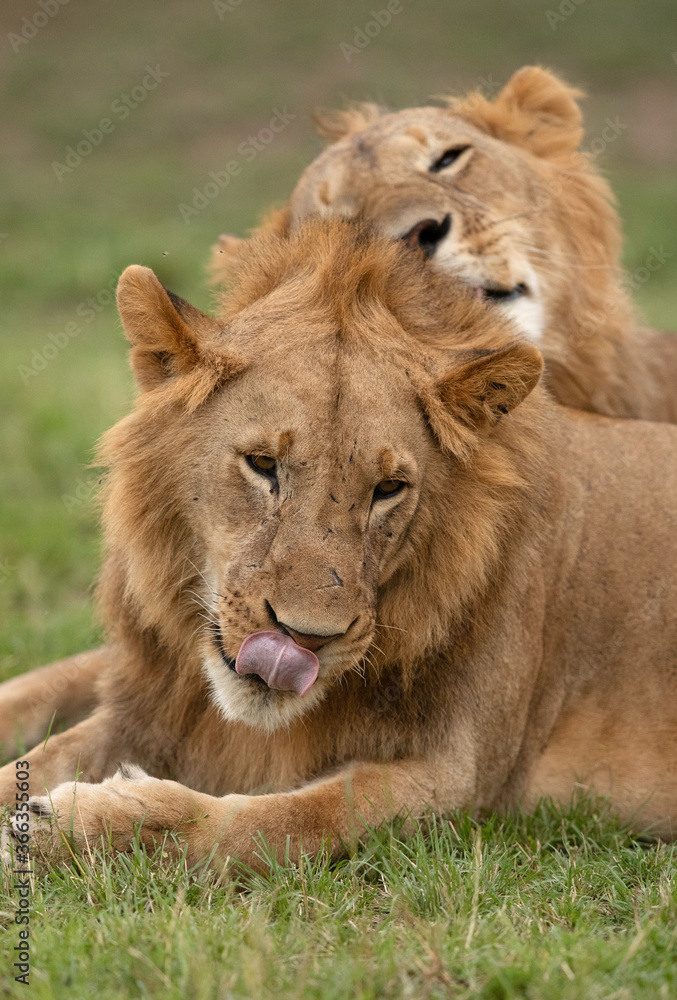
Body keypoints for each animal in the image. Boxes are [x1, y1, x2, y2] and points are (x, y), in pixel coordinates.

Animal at [2, 218, 676, 872]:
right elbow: (35, 759)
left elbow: (283, 823)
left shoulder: (461, 779)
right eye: (262, 464)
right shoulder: (150, 704)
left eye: (388, 489)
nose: (305, 640)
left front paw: (81, 823)